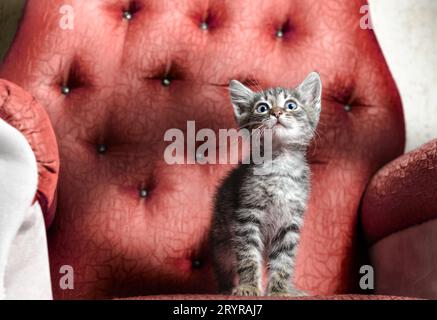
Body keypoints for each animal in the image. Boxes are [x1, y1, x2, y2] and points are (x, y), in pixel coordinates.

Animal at [209, 71, 322, 296]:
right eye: (262, 108)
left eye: (291, 105)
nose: (276, 112)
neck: (280, 164)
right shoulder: (247, 215)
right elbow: (248, 256)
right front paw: (248, 286)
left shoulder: (290, 221)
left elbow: (284, 260)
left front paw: (280, 291)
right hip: (222, 238)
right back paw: (228, 287)